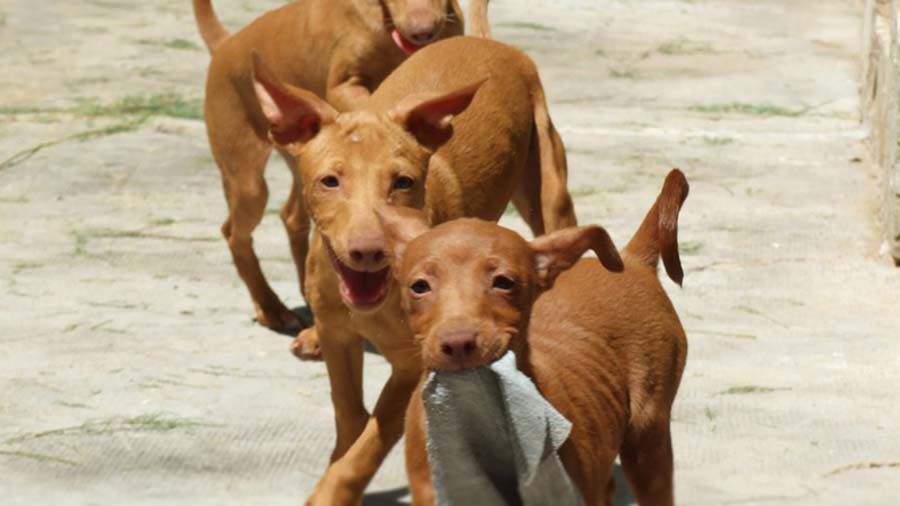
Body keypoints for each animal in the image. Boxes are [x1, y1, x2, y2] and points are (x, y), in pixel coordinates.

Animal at [192, 0, 488, 332]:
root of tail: (226, 44)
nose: (422, 31)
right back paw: (271, 308)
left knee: (291, 216)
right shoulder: (343, 85)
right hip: (248, 183)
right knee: (234, 232)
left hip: (299, 166)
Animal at [251, 34, 576, 502]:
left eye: (402, 182)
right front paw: (338, 462)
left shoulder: (414, 366)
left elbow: (374, 438)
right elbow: (350, 414)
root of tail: (484, 40)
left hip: (550, 194)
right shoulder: (338, 335)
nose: (370, 251)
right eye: (330, 181)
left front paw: (335, 489)